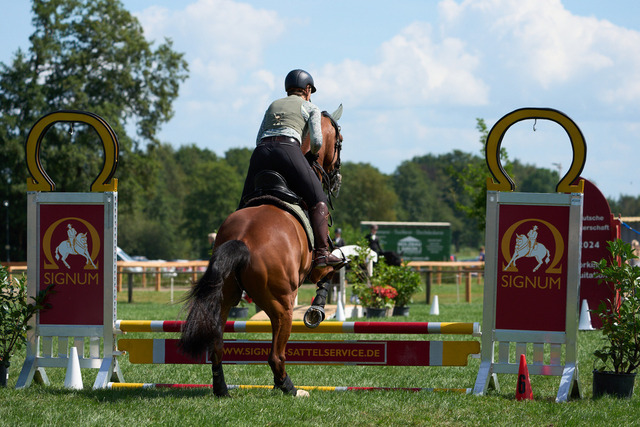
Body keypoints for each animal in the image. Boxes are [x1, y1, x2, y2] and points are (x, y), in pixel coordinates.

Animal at [179, 106, 344, 397]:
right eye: (340, 142)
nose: (337, 179)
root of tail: (242, 240)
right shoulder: (316, 266)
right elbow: (326, 273)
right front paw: (316, 311)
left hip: (224, 299)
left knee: (217, 346)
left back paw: (222, 389)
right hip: (282, 305)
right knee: (276, 355)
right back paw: (290, 388)